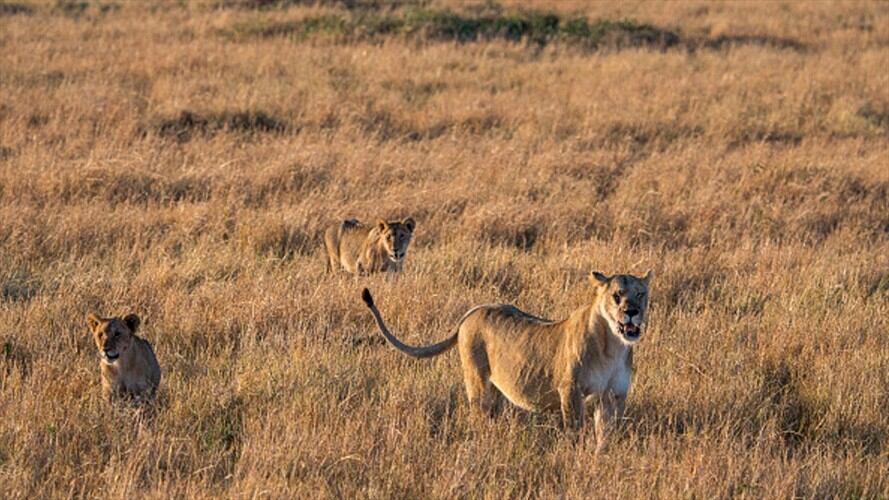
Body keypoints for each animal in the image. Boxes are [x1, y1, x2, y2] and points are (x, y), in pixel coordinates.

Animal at [361, 270, 652, 450]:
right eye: (616, 295)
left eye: (640, 294)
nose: (632, 312)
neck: (613, 345)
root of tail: (472, 312)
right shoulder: (571, 391)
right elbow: (575, 430)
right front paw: (576, 455)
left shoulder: (614, 396)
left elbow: (607, 435)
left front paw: (600, 457)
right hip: (478, 383)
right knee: (478, 418)